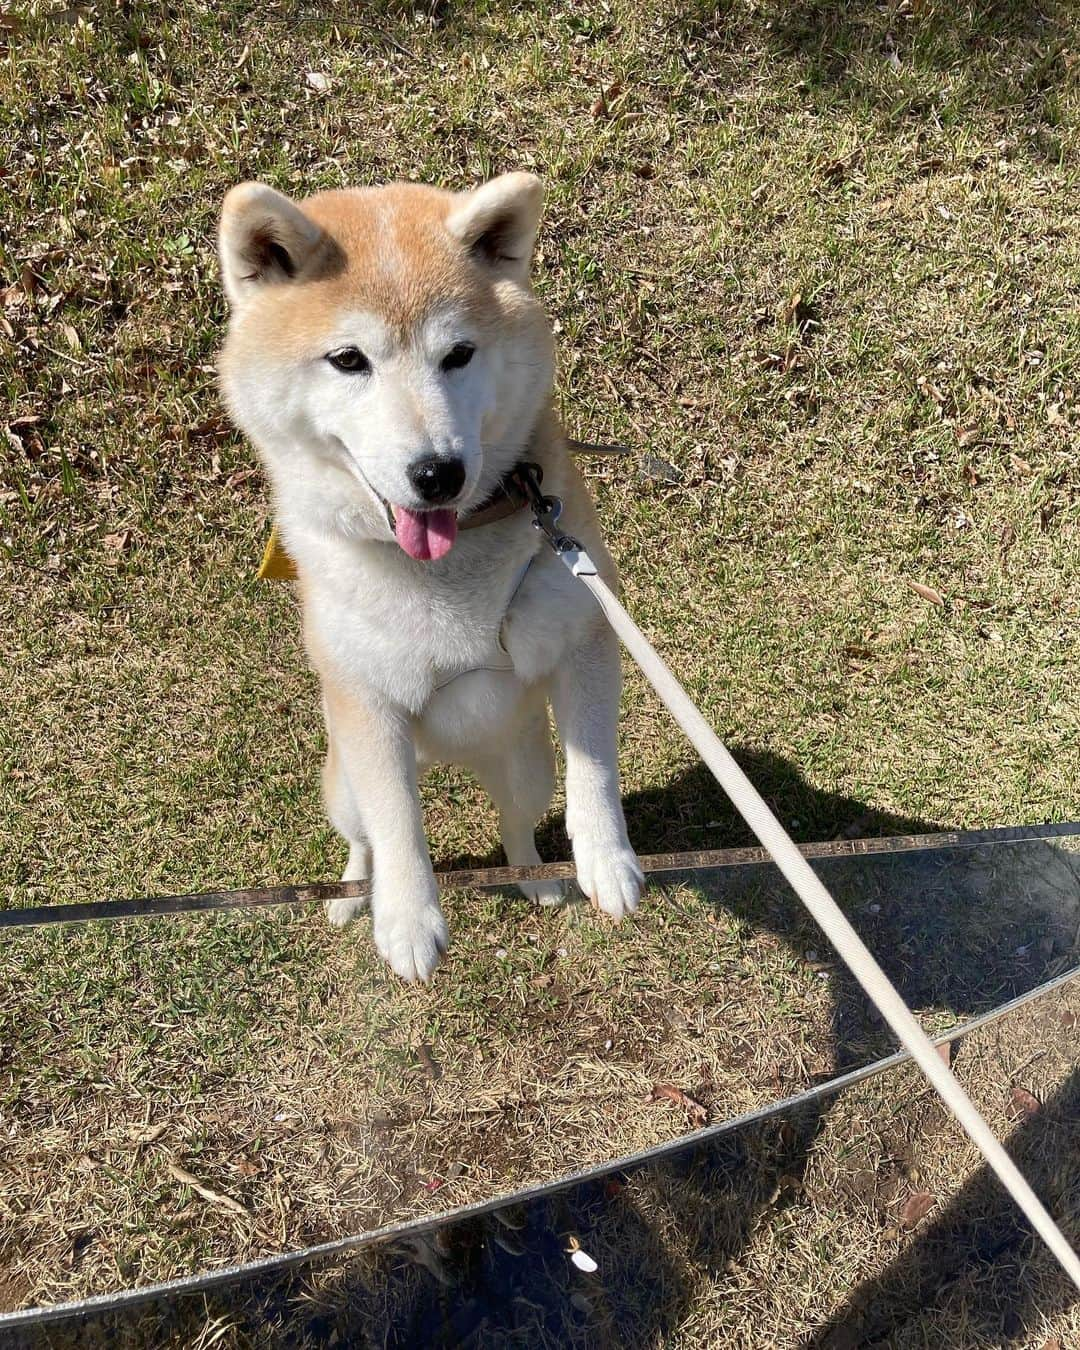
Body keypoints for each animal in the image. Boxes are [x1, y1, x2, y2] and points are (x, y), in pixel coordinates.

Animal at [217, 176, 642, 982]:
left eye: (460, 354)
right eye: (348, 359)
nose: (437, 474)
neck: (445, 572)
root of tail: (453, 756)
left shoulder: (583, 633)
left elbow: (595, 767)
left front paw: (609, 858)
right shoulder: (366, 704)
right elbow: (400, 829)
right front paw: (407, 918)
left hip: (524, 767)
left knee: (516, 823)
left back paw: (537, 878)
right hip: (344, 785)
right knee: (363, 842)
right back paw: (354, 896)